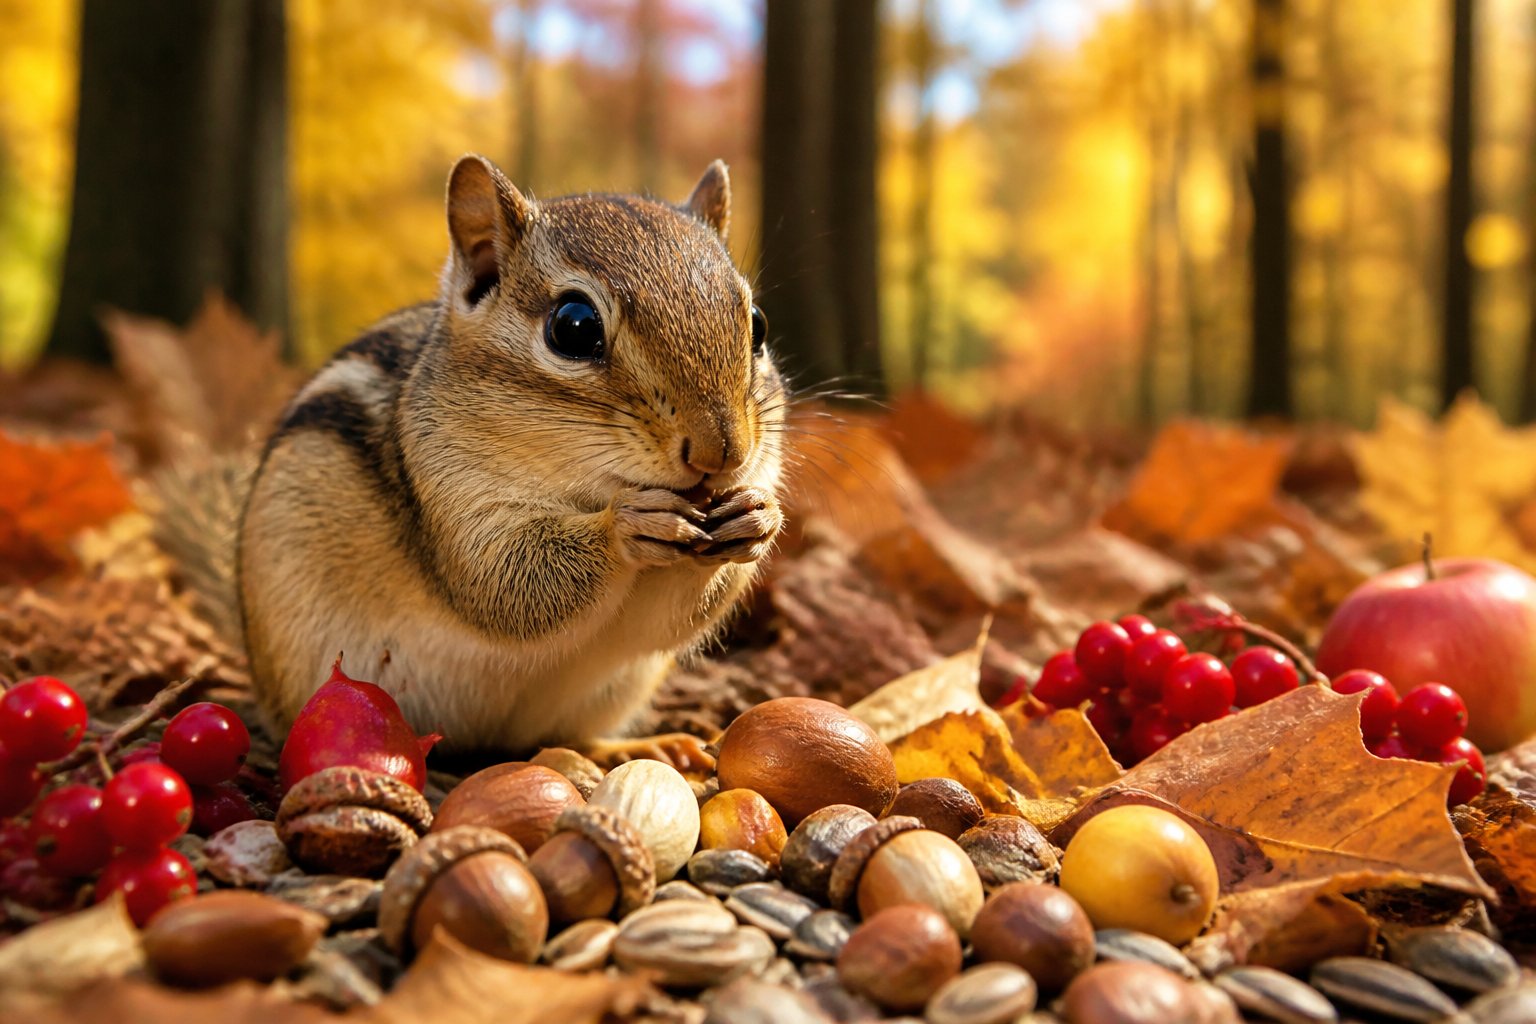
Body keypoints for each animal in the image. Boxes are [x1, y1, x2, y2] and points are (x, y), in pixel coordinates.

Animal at [236, 155, 786, 754]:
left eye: (758, 323)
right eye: (573, 326)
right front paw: (627, 524)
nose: (721, 452)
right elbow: (505, 584)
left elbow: (668, 621)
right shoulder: (451, 496)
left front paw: (758, 515)